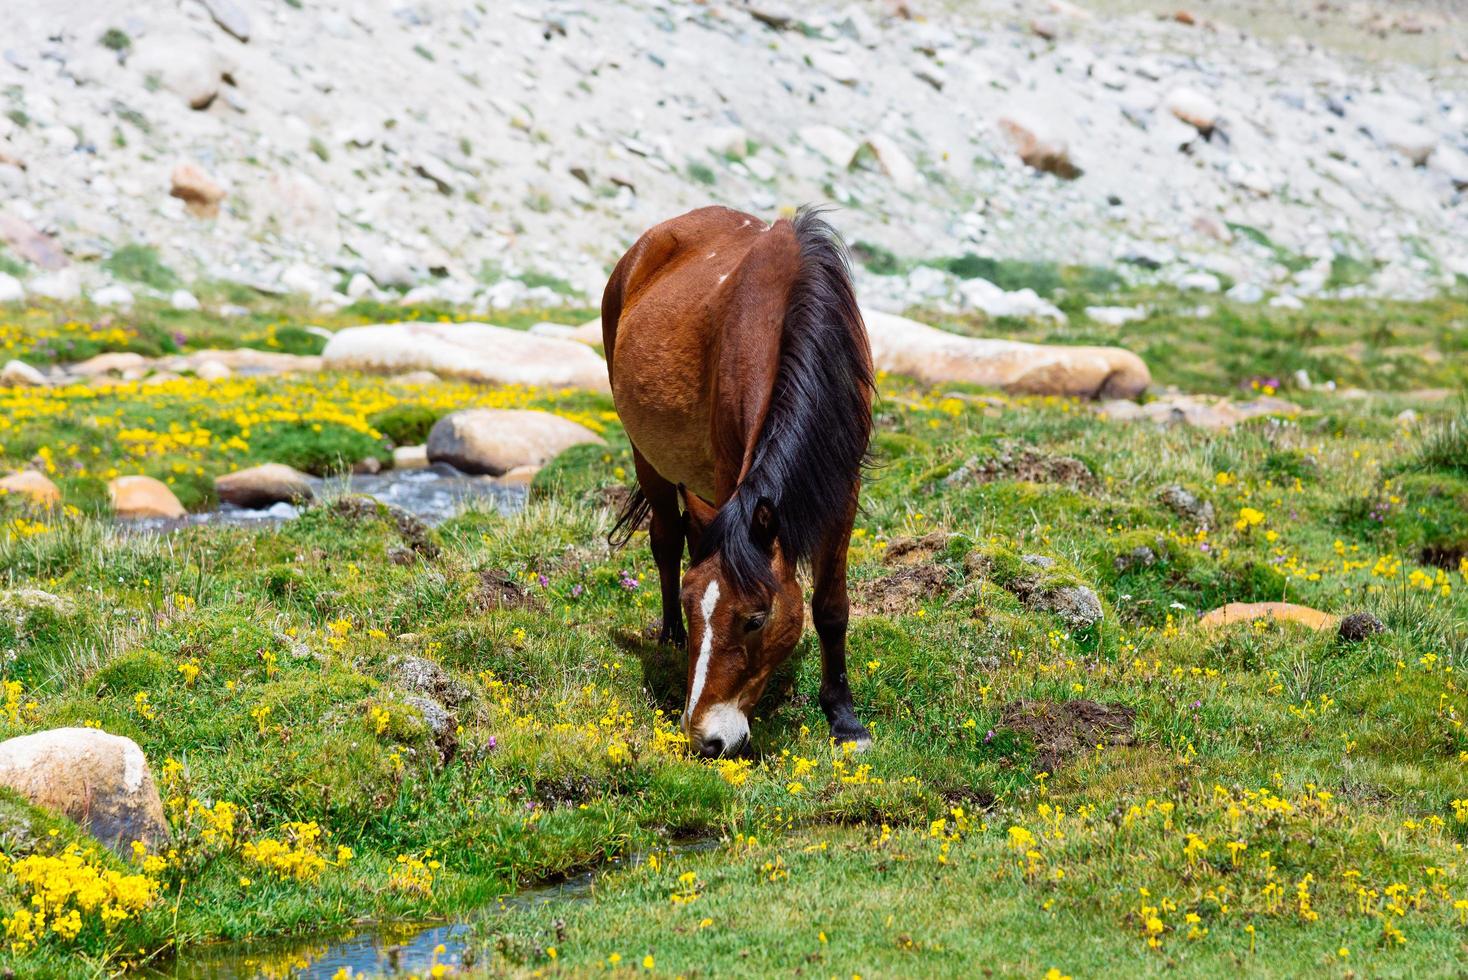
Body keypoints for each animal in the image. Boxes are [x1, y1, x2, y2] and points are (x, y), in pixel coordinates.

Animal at [604, 206, 874, 757]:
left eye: (755, 618)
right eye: (695, 607)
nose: (706, 739)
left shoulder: (842, 489)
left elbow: (831, 606)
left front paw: (844, 718)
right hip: (647, 457)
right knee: (667, 540)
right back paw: (669, 638)